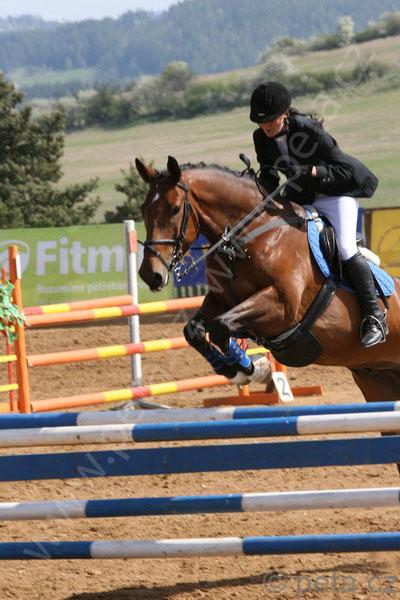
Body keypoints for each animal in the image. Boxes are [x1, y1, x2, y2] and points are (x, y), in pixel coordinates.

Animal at [136, 155, 400, 408]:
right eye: (143, 209)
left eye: (174, 208)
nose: (150, 274)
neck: (245, 238)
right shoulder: (221, 300)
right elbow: (194, 330)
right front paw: (240, 370)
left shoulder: (282, 306)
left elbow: (220, 327)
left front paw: (253, 370)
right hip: (376, 379)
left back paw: (374, 329)